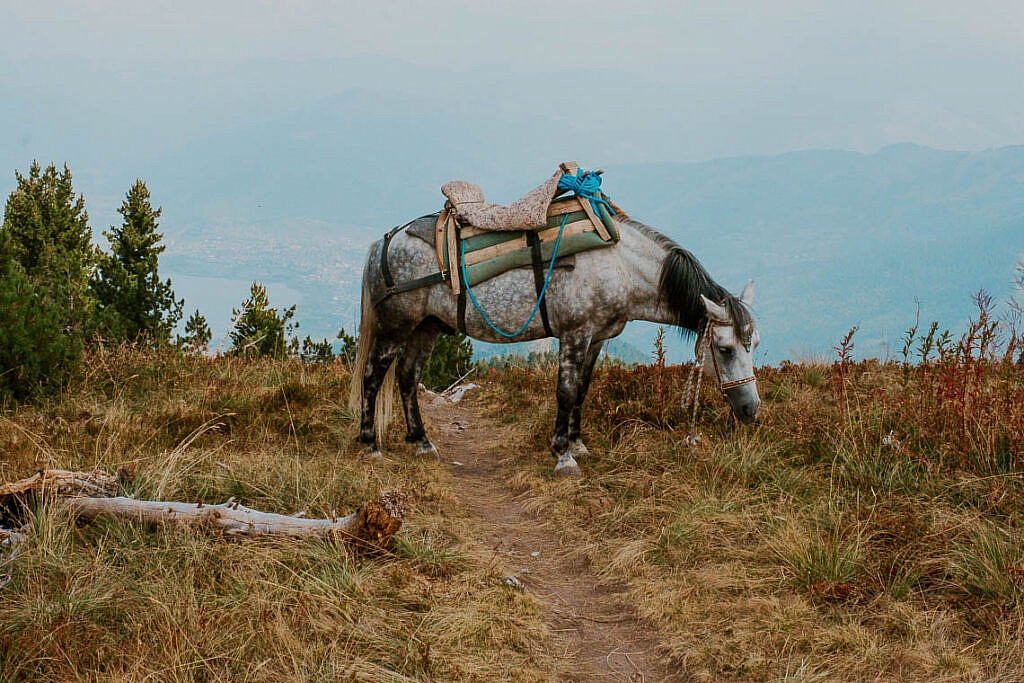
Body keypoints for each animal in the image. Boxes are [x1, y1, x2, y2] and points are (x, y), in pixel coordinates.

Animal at [348, 216, 757, 473]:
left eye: (751, 344)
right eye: (725, 349)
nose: (751, 409)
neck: (620, 264)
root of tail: (386, 241)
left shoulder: (596, 338)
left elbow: (582, 391)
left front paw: (577, 444)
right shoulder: (575, 334)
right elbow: (565, 391)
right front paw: (563, 455)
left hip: (427, 327)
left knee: (406, 376)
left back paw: (421, 442)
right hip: (396, 326)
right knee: (373, 375)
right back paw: (370, 445)